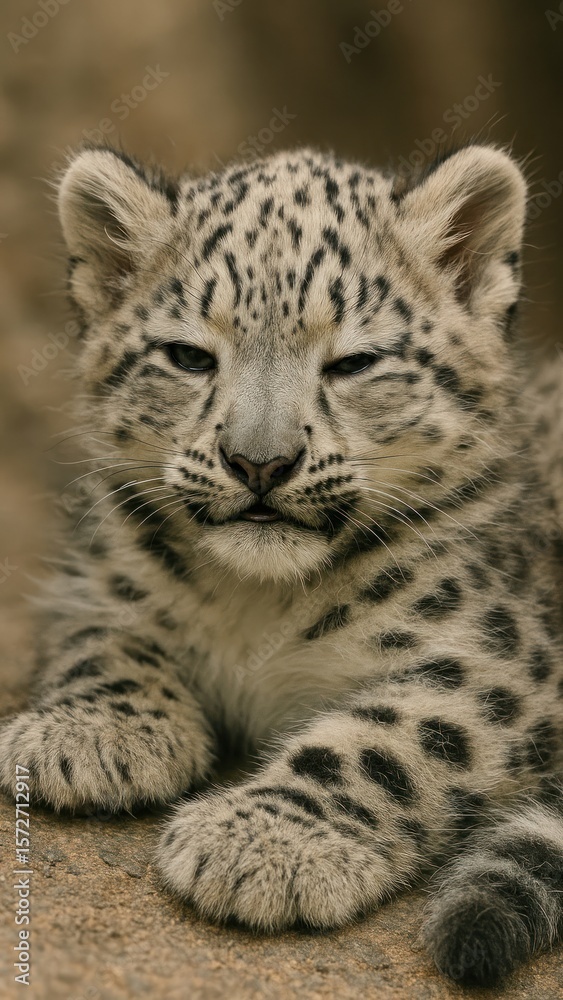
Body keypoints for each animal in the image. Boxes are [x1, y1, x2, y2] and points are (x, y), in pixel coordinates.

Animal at [1, 141, 562, 988]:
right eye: (188, 356)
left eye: (354, 362)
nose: (258, 462)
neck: (256, 601)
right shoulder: (96, 577)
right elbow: (104, 635)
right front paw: (90, 735)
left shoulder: (497, 656)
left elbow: (394, 740)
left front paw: (264, 841)